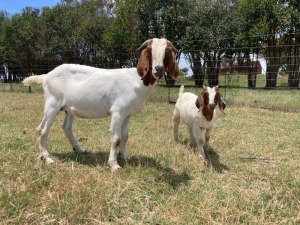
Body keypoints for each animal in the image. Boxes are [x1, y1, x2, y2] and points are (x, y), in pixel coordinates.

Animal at [23, 38, 179, 172]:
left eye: (167, 52)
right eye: (149, 51)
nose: (158, 69)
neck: (136, 80)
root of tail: (46, 76)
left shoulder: (127, 114)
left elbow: (125, 136)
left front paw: (124, 157)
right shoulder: (118, 112)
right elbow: (116, 138)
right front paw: (114, 165)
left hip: (68, 108)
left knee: (66, 127)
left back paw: (79, 149)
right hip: (53, 103)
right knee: (42, 129)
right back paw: (47, 158)